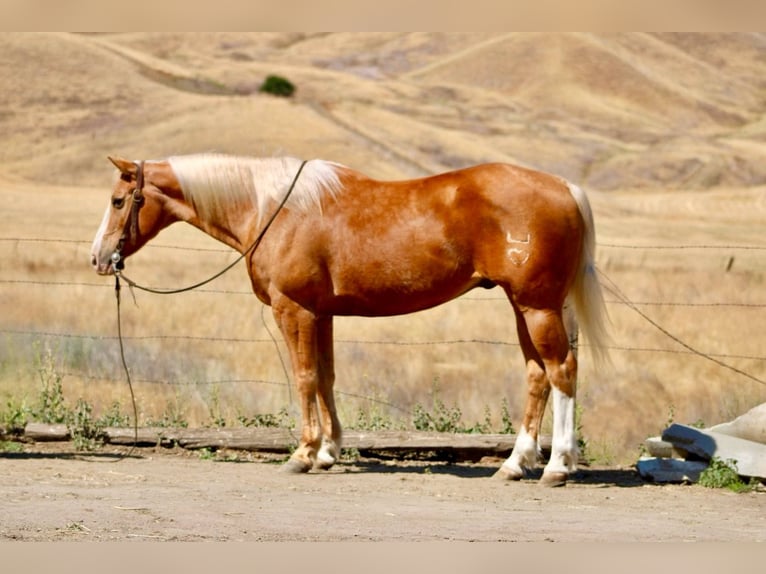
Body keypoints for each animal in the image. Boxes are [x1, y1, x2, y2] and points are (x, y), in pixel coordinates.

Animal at [91, 153, 609, 486]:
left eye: (118, 202)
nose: (98, 258)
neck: (272, 208)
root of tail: (565, 188)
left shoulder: (293, 309)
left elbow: (303, 377)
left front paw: (302, 454)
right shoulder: (322, 314)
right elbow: (325, 377)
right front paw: (327, 452)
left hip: (536, 306)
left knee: (561, 372)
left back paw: (556, 467)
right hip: (528, 307)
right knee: (538, 376)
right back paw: (515, 464)